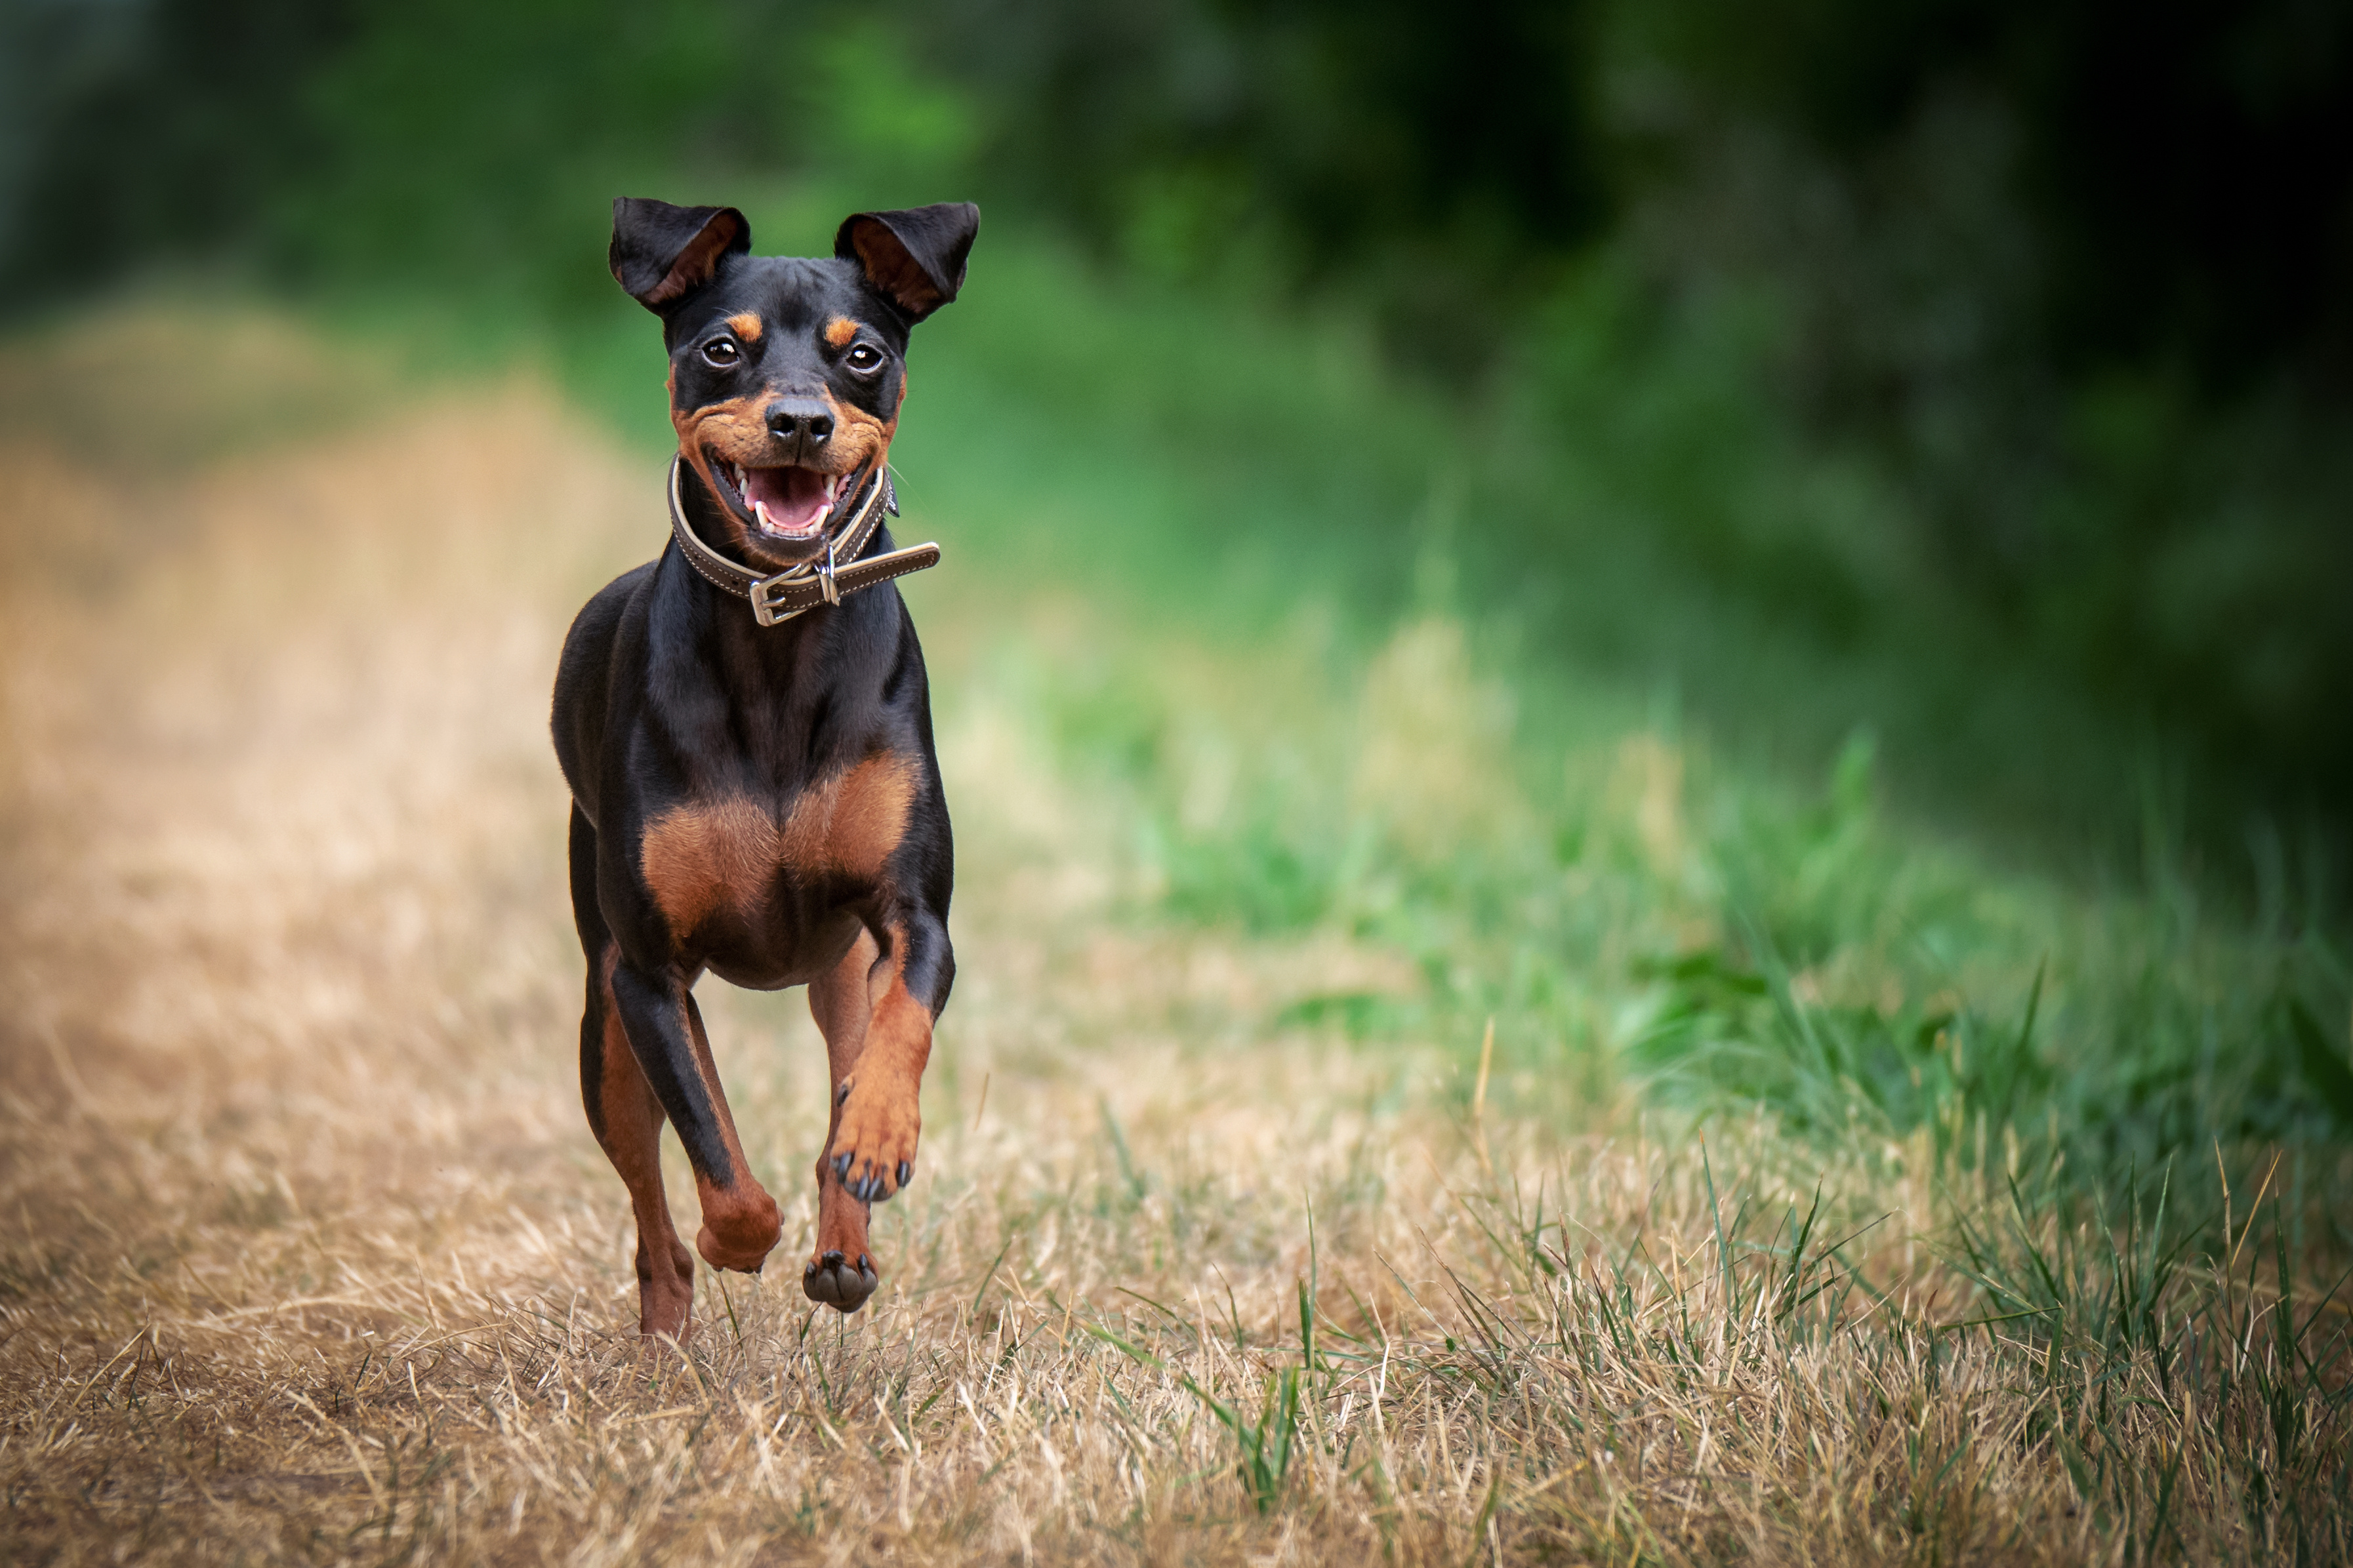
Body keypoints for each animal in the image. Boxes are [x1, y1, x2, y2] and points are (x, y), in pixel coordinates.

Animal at [550, 196, 974, 1335]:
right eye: (719, 349)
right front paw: (735, 1236)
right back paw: (666, 1326)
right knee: (648, 1200)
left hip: (837, 970)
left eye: (863, 354)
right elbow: (715, 1149)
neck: (778, 631)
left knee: (846, 1066)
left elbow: (898, 1038)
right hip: (602, 1015)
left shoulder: (913, 917)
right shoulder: (649, 973)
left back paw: (844, 1242)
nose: (798, 422)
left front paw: (876, 1139)